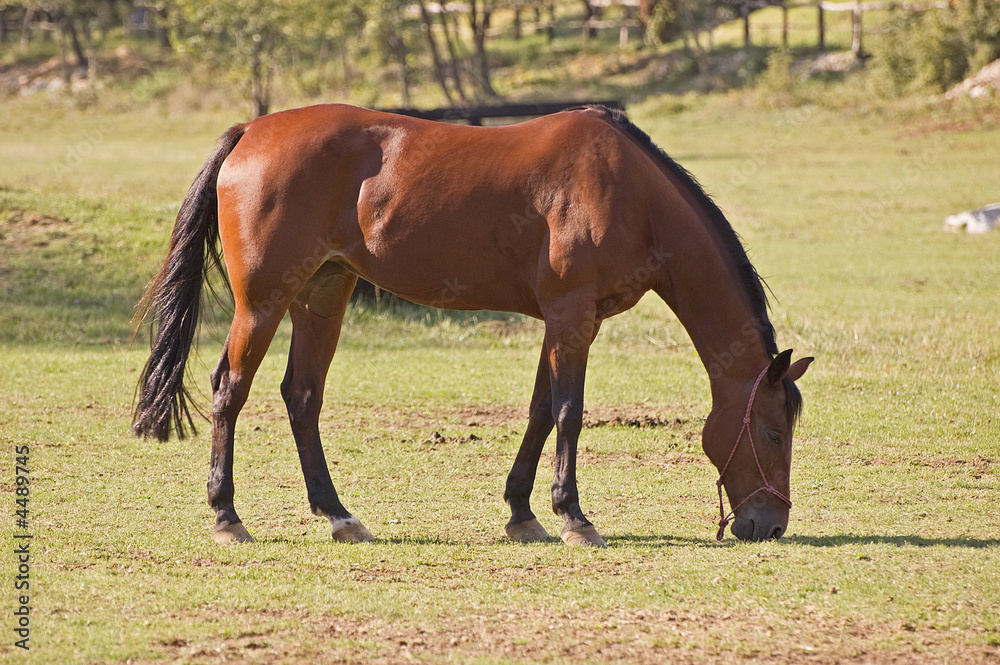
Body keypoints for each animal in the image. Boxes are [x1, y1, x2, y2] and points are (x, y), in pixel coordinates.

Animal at [135, 105, 812, 544]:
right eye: (772, 433)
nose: (771, 525)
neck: (631, 191)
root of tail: (253, 130)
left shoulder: (563, 321)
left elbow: (541, 412)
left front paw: (523, 513)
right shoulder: (573, 316)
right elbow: (570, 412)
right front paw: (574, 517)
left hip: (323, 293)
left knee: (302, 397)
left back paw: (339, 515)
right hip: (264, 300)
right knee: (230, 390)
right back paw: (227, 517)